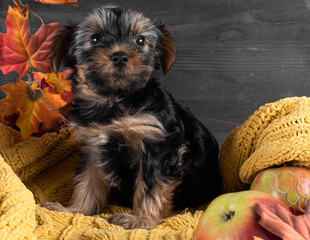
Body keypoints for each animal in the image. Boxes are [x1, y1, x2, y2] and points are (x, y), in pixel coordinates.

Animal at [44, 5, 223, 230]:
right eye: (95, 38)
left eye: (140, 41)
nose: (120, 56)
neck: (116, 100)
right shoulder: (93, 145)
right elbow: (87, 179)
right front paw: (75, 210)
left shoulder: (157, 147)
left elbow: (150, 186)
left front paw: (141, 220)